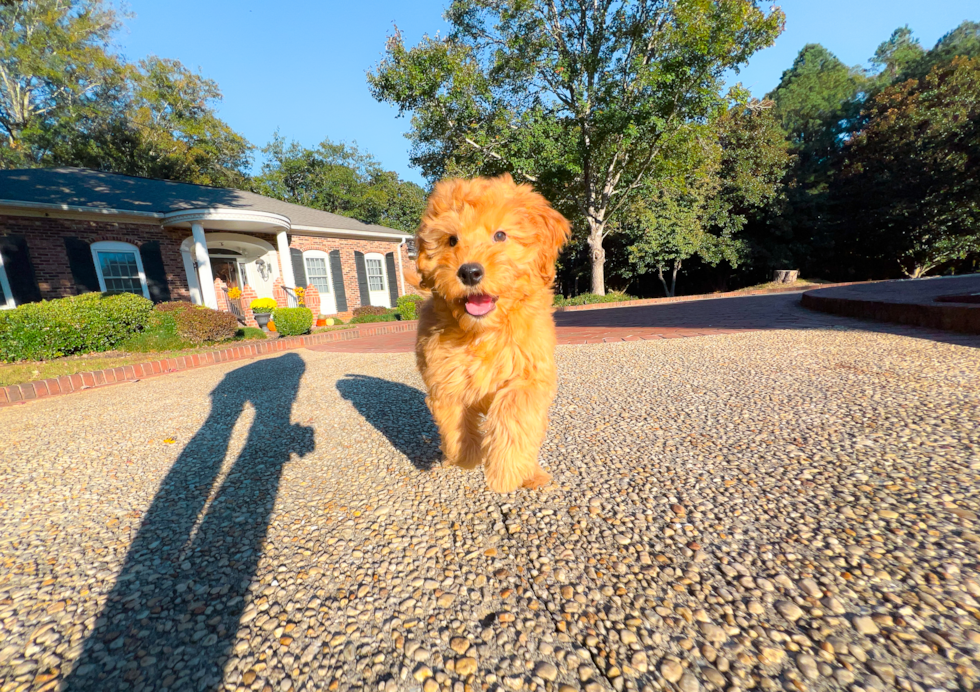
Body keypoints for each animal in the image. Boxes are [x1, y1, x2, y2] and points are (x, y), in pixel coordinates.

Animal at [412, 176, 568, 494]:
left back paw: (531, 473)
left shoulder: (530, 372)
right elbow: (453, 419)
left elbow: (515, 411)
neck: (483, 331)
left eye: (500, 235)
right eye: (452, 240)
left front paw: (505, 472)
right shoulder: (444, 374)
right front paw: (467, 457)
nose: (470, 272)